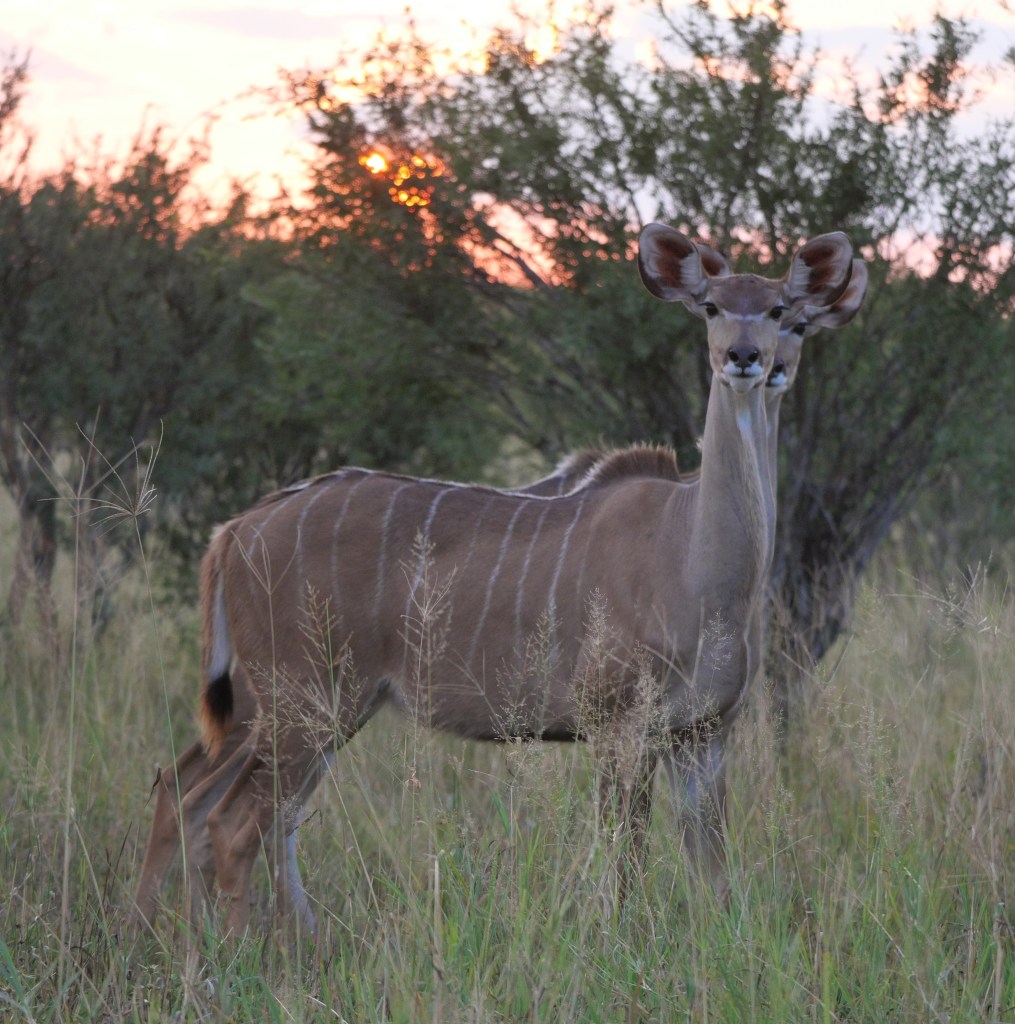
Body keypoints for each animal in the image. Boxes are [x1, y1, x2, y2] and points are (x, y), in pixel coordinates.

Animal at [132, 226, 856, 937]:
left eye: (780, 312)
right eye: (709, 306)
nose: (746, 358)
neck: (695, 559)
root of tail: (234, 531)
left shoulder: (703, 737)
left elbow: (714, 875)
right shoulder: (620, 729)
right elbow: (621, 867)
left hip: (288, 708)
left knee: (188, 792)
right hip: (303, 704)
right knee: (234, 823)